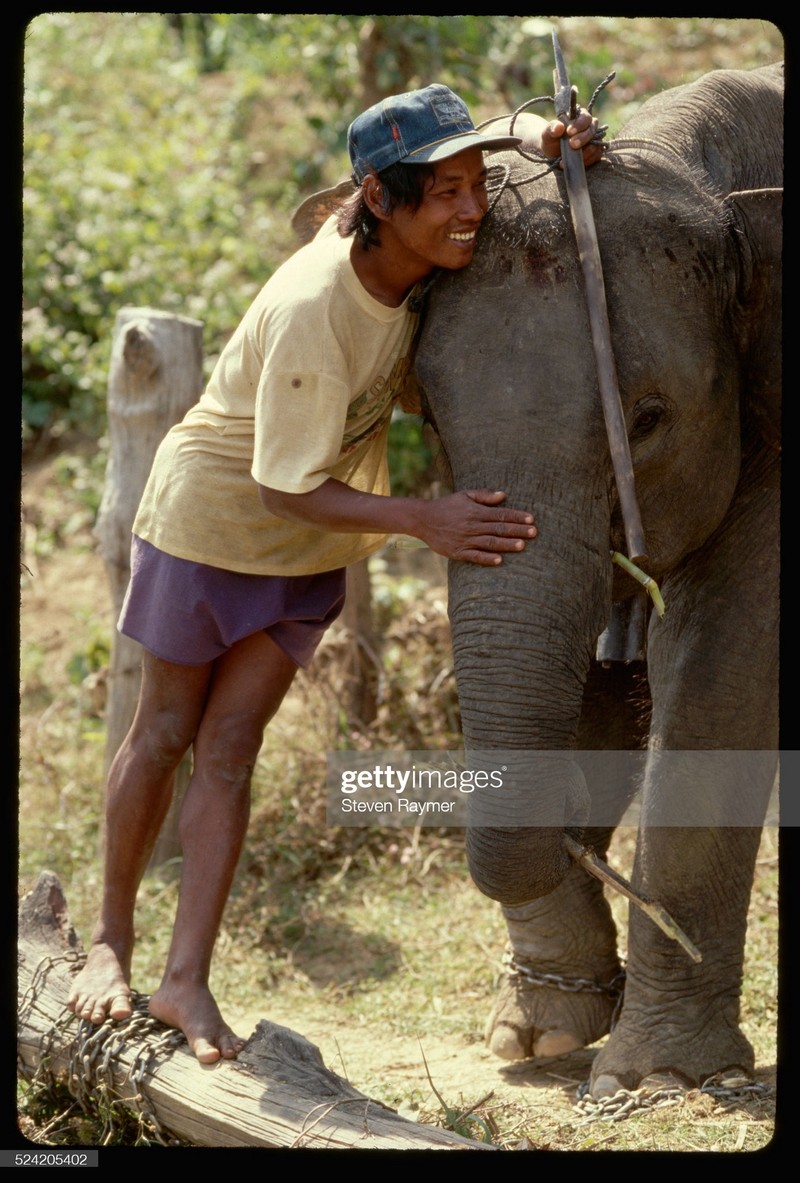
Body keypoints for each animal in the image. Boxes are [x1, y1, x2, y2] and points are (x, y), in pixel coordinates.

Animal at [416, 62, 776, 1097]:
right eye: (430, 420)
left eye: (647, 419)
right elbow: (598, 689)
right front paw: (539, 1036)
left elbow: (722, 665)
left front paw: (656, 1076)